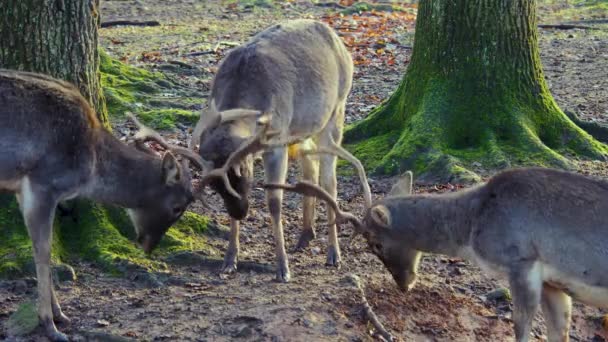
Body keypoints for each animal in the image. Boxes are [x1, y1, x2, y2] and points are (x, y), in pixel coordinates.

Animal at [0, 70, 204, 342]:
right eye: (178, 207)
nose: (149, 246)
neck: (91, 164)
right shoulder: (43, 184)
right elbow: (43, 251)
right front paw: (50, 324)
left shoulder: (22, 191)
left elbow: (43, 251)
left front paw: (58, 315)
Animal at [189, 18, 370, 284]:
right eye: (215, 186)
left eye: (242, 177)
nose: (241, 212)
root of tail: (339, 41)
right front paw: (229, 260)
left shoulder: (276, 141)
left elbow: (275, 202)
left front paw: (283, 269)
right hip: (303, 128)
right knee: (310, 168)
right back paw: (306, 235)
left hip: (336, 111)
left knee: (330, 182)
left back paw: (334, 254)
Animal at [268, 168, 608, 342]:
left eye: (375, 243)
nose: (403, 284)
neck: (473, 226)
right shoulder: (555, 282)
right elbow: (559, 332)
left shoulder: (521, 260)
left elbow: (521, 330)